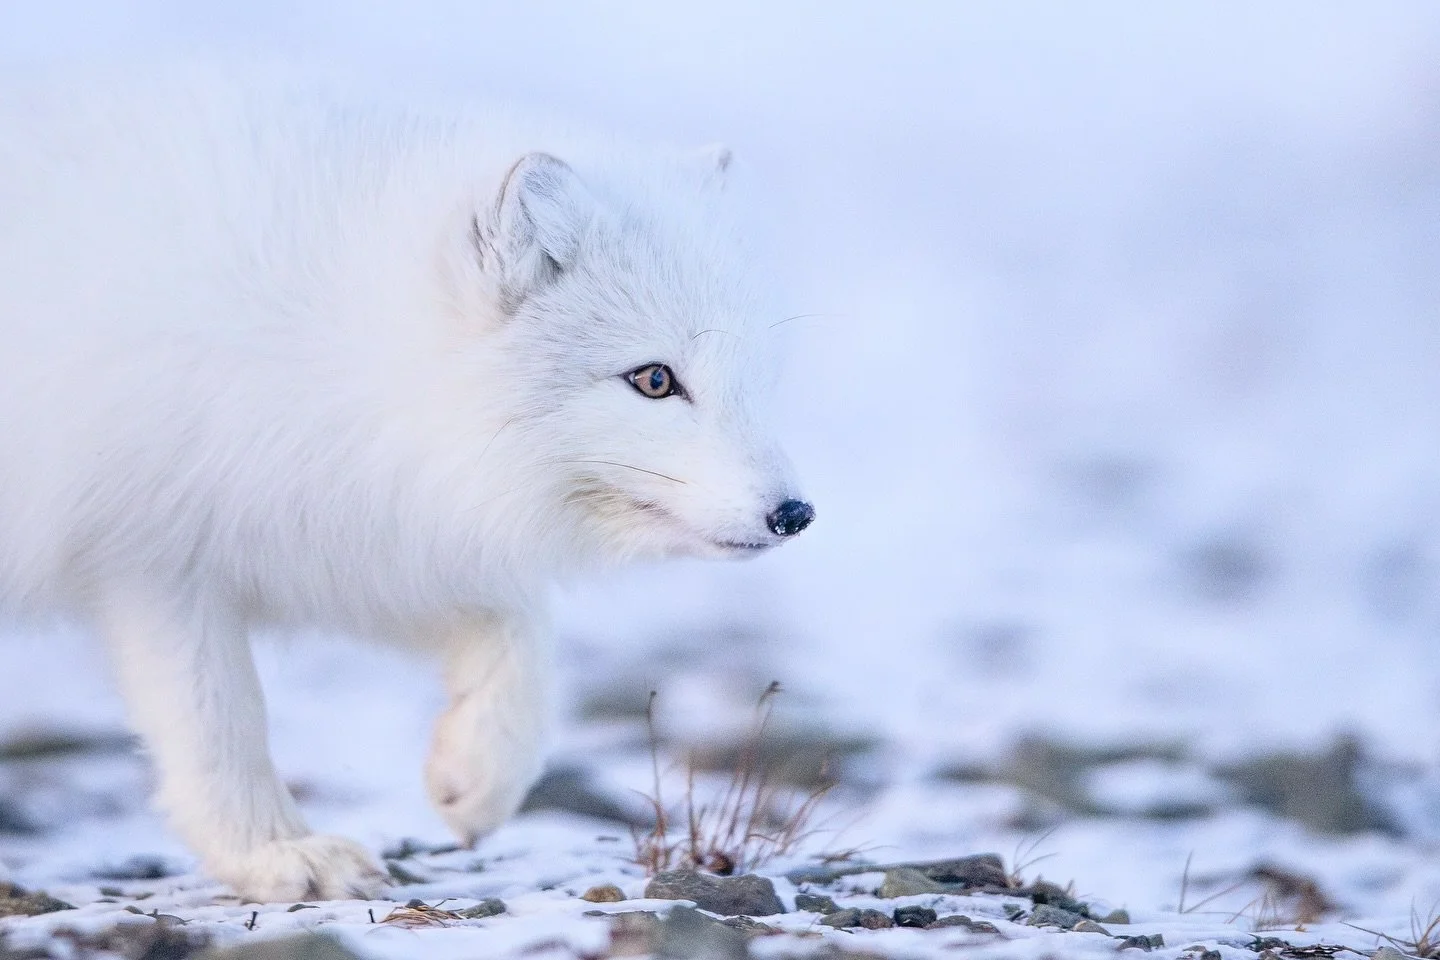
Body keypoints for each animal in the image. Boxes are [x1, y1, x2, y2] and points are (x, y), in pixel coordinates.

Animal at [0, 73, 813, 902]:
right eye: (654, 380)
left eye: (758, 379)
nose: (795, 513)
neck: (326, 332)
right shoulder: (149, 551)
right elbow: (218, 720)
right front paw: (274, 851)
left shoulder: (353, 518)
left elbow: (523, 632)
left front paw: (478, 774)